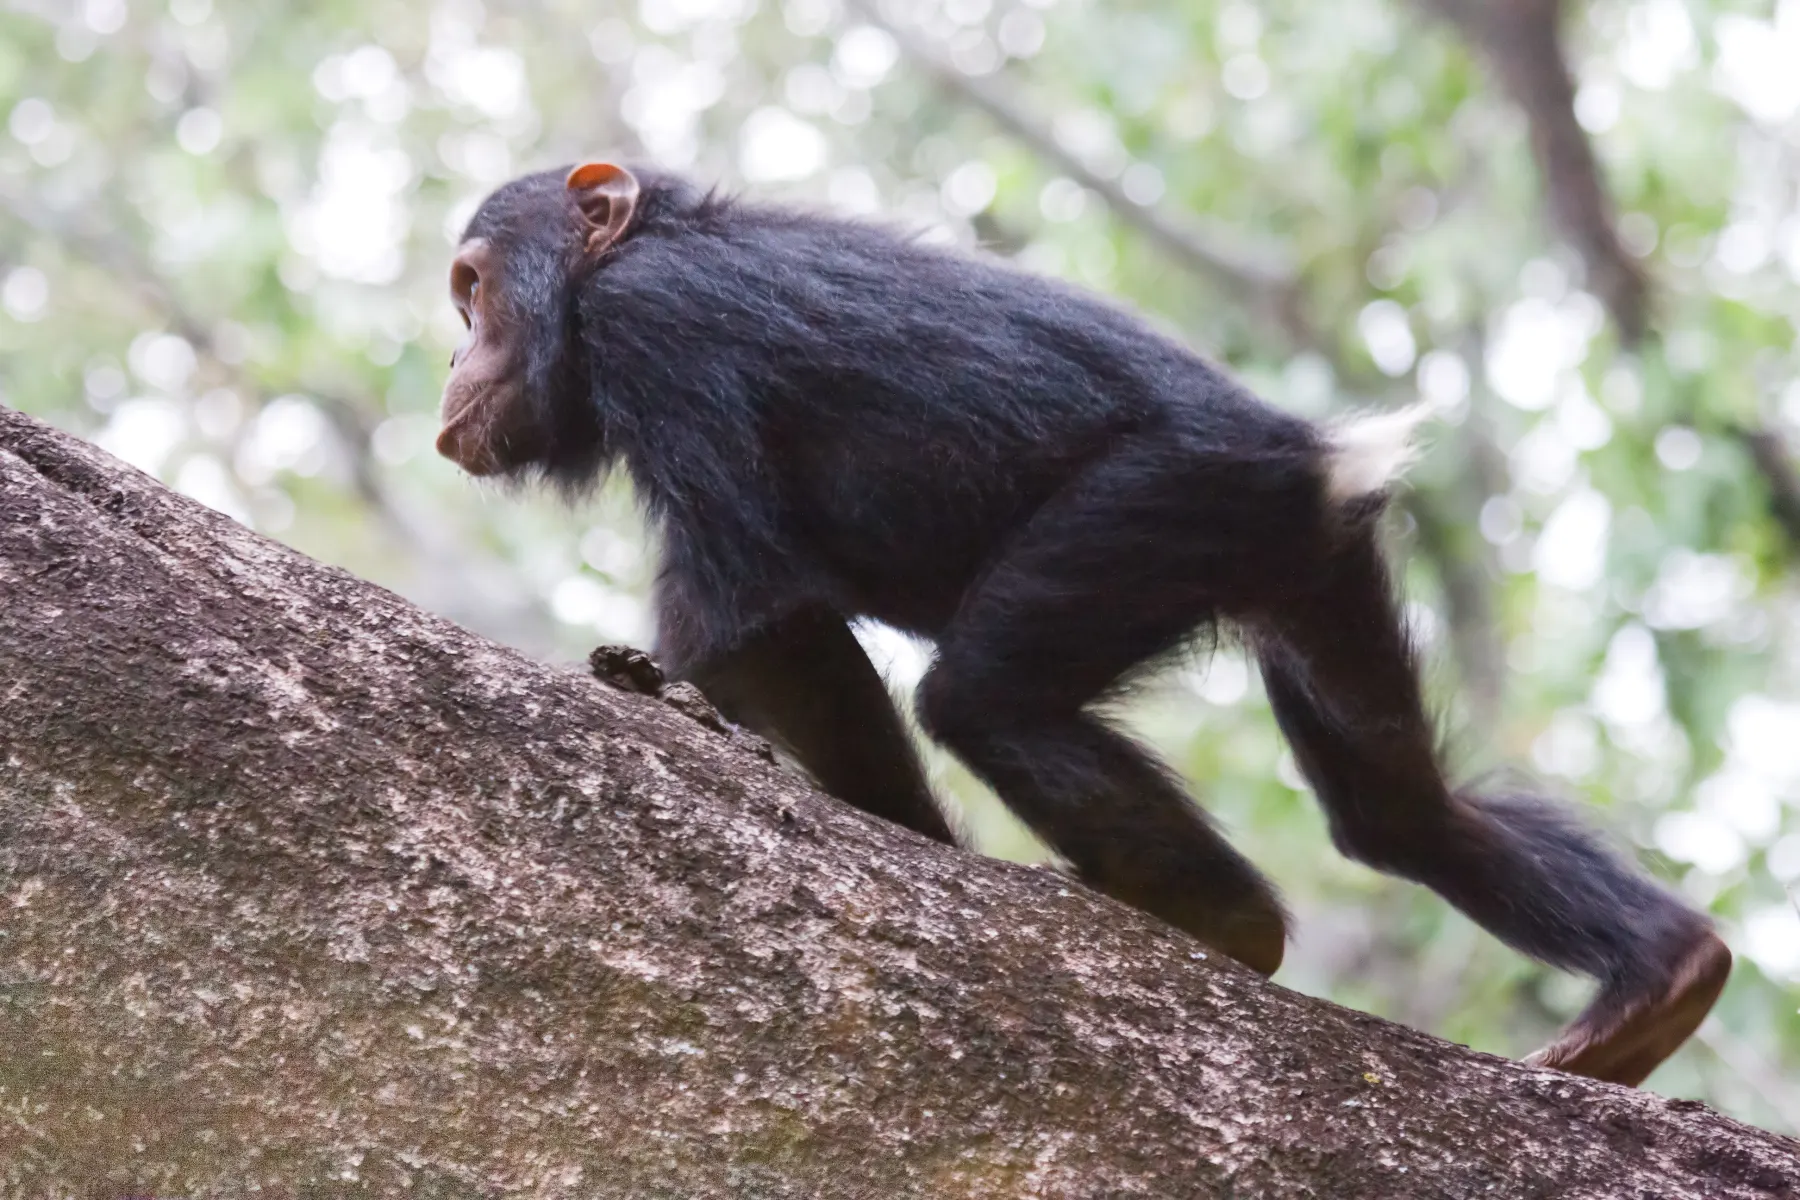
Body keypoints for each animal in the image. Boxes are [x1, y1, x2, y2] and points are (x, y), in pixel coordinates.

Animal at [437, 159, 1731, 1088]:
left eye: (472, 290)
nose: (453, 359)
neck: (629, 262)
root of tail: (1314, 457)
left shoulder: (662, 333)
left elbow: (755, 619)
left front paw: (900, 830)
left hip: (1168, 505)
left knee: (985, 696)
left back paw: (1224, 919)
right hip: (1312, 564)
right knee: (1395, 803)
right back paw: (1661, 980)